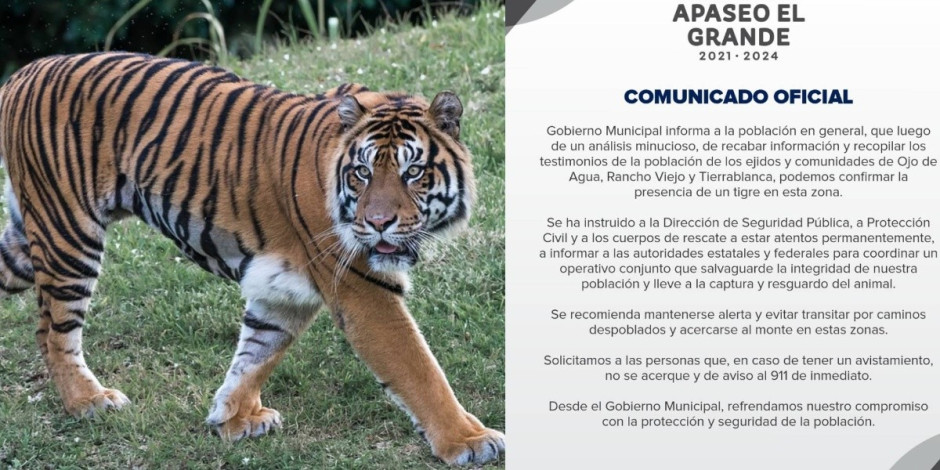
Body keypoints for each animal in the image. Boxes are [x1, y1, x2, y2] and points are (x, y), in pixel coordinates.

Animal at [0, 52, 504, 465]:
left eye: (412, 171)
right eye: (362, 172)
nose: (378, 223)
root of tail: (21, 73)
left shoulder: (284, 290)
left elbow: (258, 351)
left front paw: (233, 418)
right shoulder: (363, 290)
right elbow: (419, 369)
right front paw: (469, 441)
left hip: (32, 237)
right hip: (69, 233)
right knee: (53, 331)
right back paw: (88, 401)